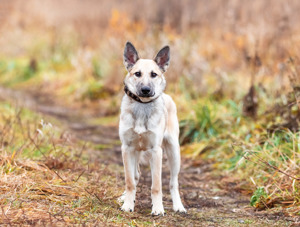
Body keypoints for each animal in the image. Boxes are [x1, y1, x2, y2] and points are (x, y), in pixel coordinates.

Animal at [118, 42, 186, 215]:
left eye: (154, 74)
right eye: (137, 74)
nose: (146, 90)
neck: (142, 105)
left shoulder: (156, 151)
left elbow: (156, 186)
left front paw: (158, 208)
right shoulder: (127, 148)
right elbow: (129, 181)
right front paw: (127, 204)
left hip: (174, 152)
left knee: (173, 183)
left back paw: (178, 206)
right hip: (134, 152)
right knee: (135, 175)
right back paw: (125, 197)